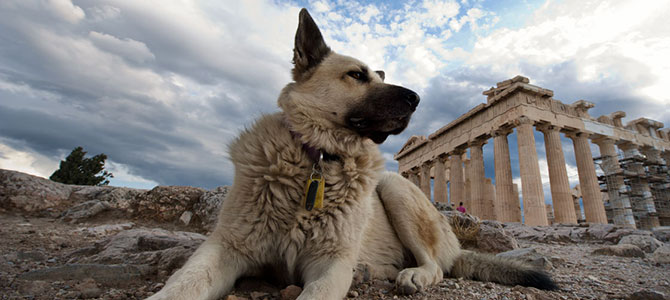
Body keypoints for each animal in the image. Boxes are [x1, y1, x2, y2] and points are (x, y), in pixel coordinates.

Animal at [150, 8, 560, 298]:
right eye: (356, 75)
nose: (416, 98)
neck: (317, 159)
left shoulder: (331, 263)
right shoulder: (226, 248)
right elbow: (181, 286)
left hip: (395, 186)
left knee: (437, 266)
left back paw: (411, 273)